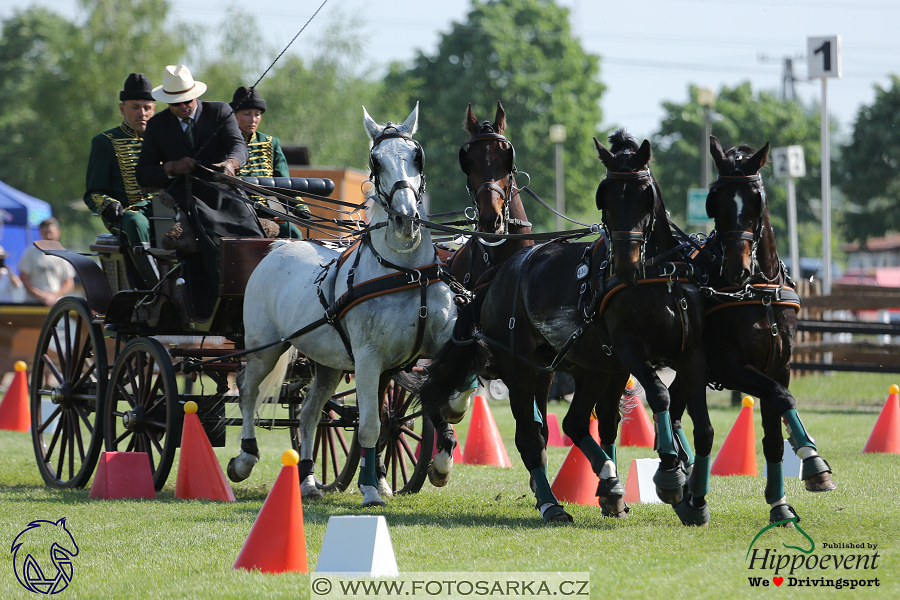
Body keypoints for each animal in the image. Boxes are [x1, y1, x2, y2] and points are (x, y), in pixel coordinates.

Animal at [229, 103, 460, 506]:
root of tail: (279, 246)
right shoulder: (369, 360)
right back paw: (244, 459)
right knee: (247, 390)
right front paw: (369, 490)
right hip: (264, 349)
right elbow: (369, 425)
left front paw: (438, 465)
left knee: (308, 414)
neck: (405, 272)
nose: (405, 219)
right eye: (375, 160)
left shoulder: (426, 353)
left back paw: (308, 480)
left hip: (327, 364)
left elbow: (444, 394)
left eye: (417, 155)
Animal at [420, 129, 712, 524]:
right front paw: (670, 474)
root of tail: (499, 276)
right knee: (532, 436)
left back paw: (610, 484)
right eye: (605, 198)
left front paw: (689, 489)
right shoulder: (629, 350)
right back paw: (552, 502)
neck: (656, 278)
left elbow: (691, 418)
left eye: (645, 195)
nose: (625, 264)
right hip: (523, 369)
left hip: (590, 369)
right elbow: (660, 395)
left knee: (579, 423)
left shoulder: (682, 355)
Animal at [672, 137, 832, 524]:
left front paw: (781, 502)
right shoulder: (732, 368)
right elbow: (781, 397)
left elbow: (775, 430)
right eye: (715, 200)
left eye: (756, 200)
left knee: (672, 406)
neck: (758, 292)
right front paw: (812, 462)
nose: (736, 268)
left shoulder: (779, 367)